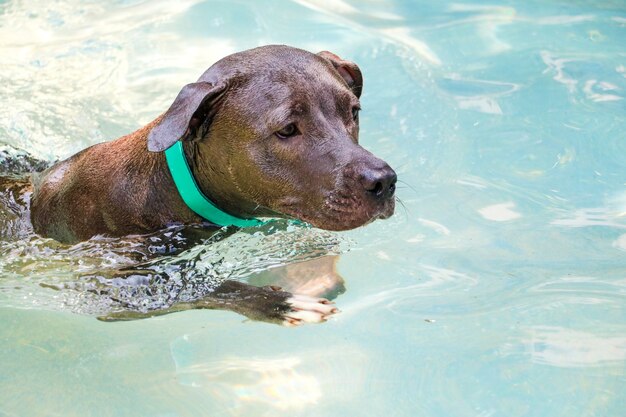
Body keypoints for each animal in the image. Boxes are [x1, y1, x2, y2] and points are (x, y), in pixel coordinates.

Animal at [7, 45, 394, 324]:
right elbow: (203, 288)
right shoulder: (118, 291)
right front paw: (280, 303)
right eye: (287, 129)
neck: (164, 186)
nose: (384, 180)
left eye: (354, 111)